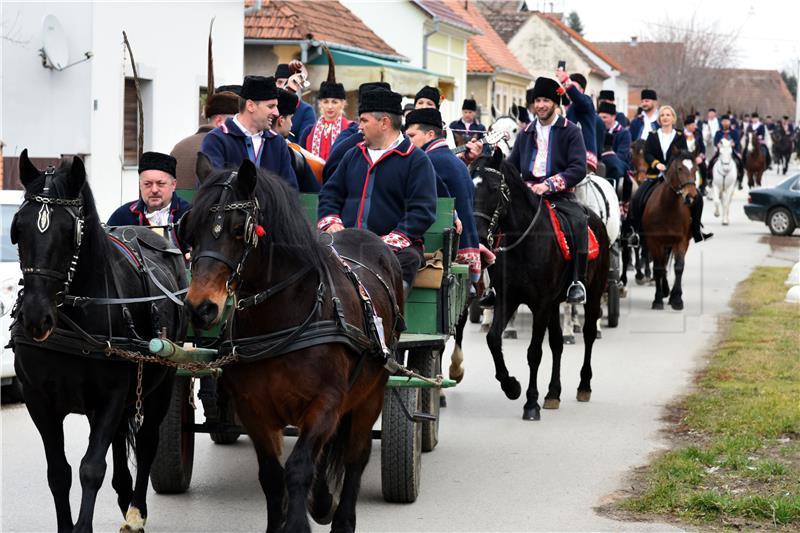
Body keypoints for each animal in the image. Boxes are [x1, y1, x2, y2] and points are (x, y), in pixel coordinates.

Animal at [10, 151, 186, 532]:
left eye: (70, 232)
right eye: (19, 228)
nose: (35, 317)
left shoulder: (110, 396)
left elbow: (91, 468)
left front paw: (84, 525)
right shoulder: (38, 399)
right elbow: (58, 473)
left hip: (164, 381)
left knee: (147, 442)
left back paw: (135, 510)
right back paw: (123, 494)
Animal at [184, 155, 404, 532]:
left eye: (238, 228)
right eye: (191, 229)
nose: (201, 308)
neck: (281, 319)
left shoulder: (325, 403)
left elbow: (299, 467)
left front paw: (299, 522)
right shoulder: (253, 410)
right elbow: (272, 476)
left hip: (371, 394)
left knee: (355, 457)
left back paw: (342, 517)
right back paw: (323, 501)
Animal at [468, 150, 608, 420]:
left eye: (493, 188)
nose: (479, 238)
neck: (525, 241)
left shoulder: (541, 304)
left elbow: (534, 352)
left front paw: (530, 403)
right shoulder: (509, 298)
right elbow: (493, 339)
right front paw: (511, 386)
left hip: (594, 293)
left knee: (587, 334)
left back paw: (584, 386)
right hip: (554, 304)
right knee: (556, 343)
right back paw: (553, 393)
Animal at [640, 150, 696, 310]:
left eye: (695, 169)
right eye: (680, 169)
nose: (691, 196)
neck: (668, 207)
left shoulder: (681, 241)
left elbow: (679, 267)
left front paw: (676, 299)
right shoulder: (654, 241)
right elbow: (658, 268)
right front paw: (658, 300)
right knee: (662, 264)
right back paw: (664, 291)